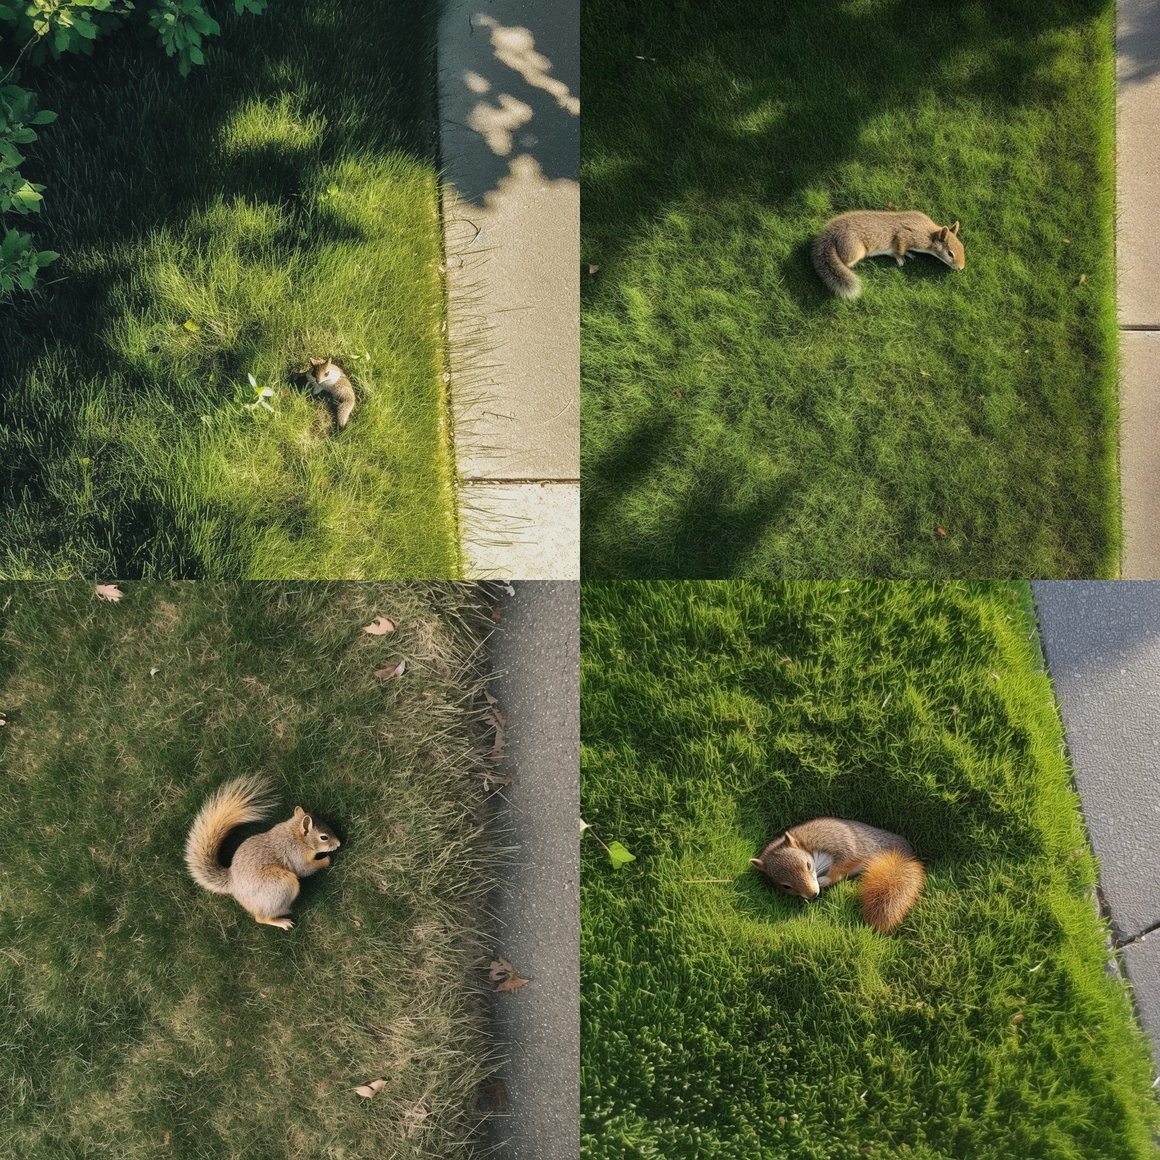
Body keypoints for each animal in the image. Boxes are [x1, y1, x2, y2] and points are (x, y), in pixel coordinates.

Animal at [184, 775, 341, 931]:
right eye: (324, 837)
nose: (339, 843)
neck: (295, 836)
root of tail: (232, 882)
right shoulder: (296, 855)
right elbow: (305, 869)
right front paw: (326, 860)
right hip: (280, 885)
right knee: (261, 917)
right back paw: (282, 919)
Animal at [750, 817, 924, 933]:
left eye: (808, 865)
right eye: (786, 886)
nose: (813, 894)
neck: (805, 845)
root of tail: (907, 855)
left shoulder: (842, 845)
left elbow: (841, 867)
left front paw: (824, 880)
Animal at [812, 211, 965, 299]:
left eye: (962, 247)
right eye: (950, 253)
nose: (961, 267)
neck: (928, 234)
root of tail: (832, 236)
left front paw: (908, 254)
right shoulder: (906, 236)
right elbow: (899, 249)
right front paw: (901, 258)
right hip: (854, 248)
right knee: (846, 261)